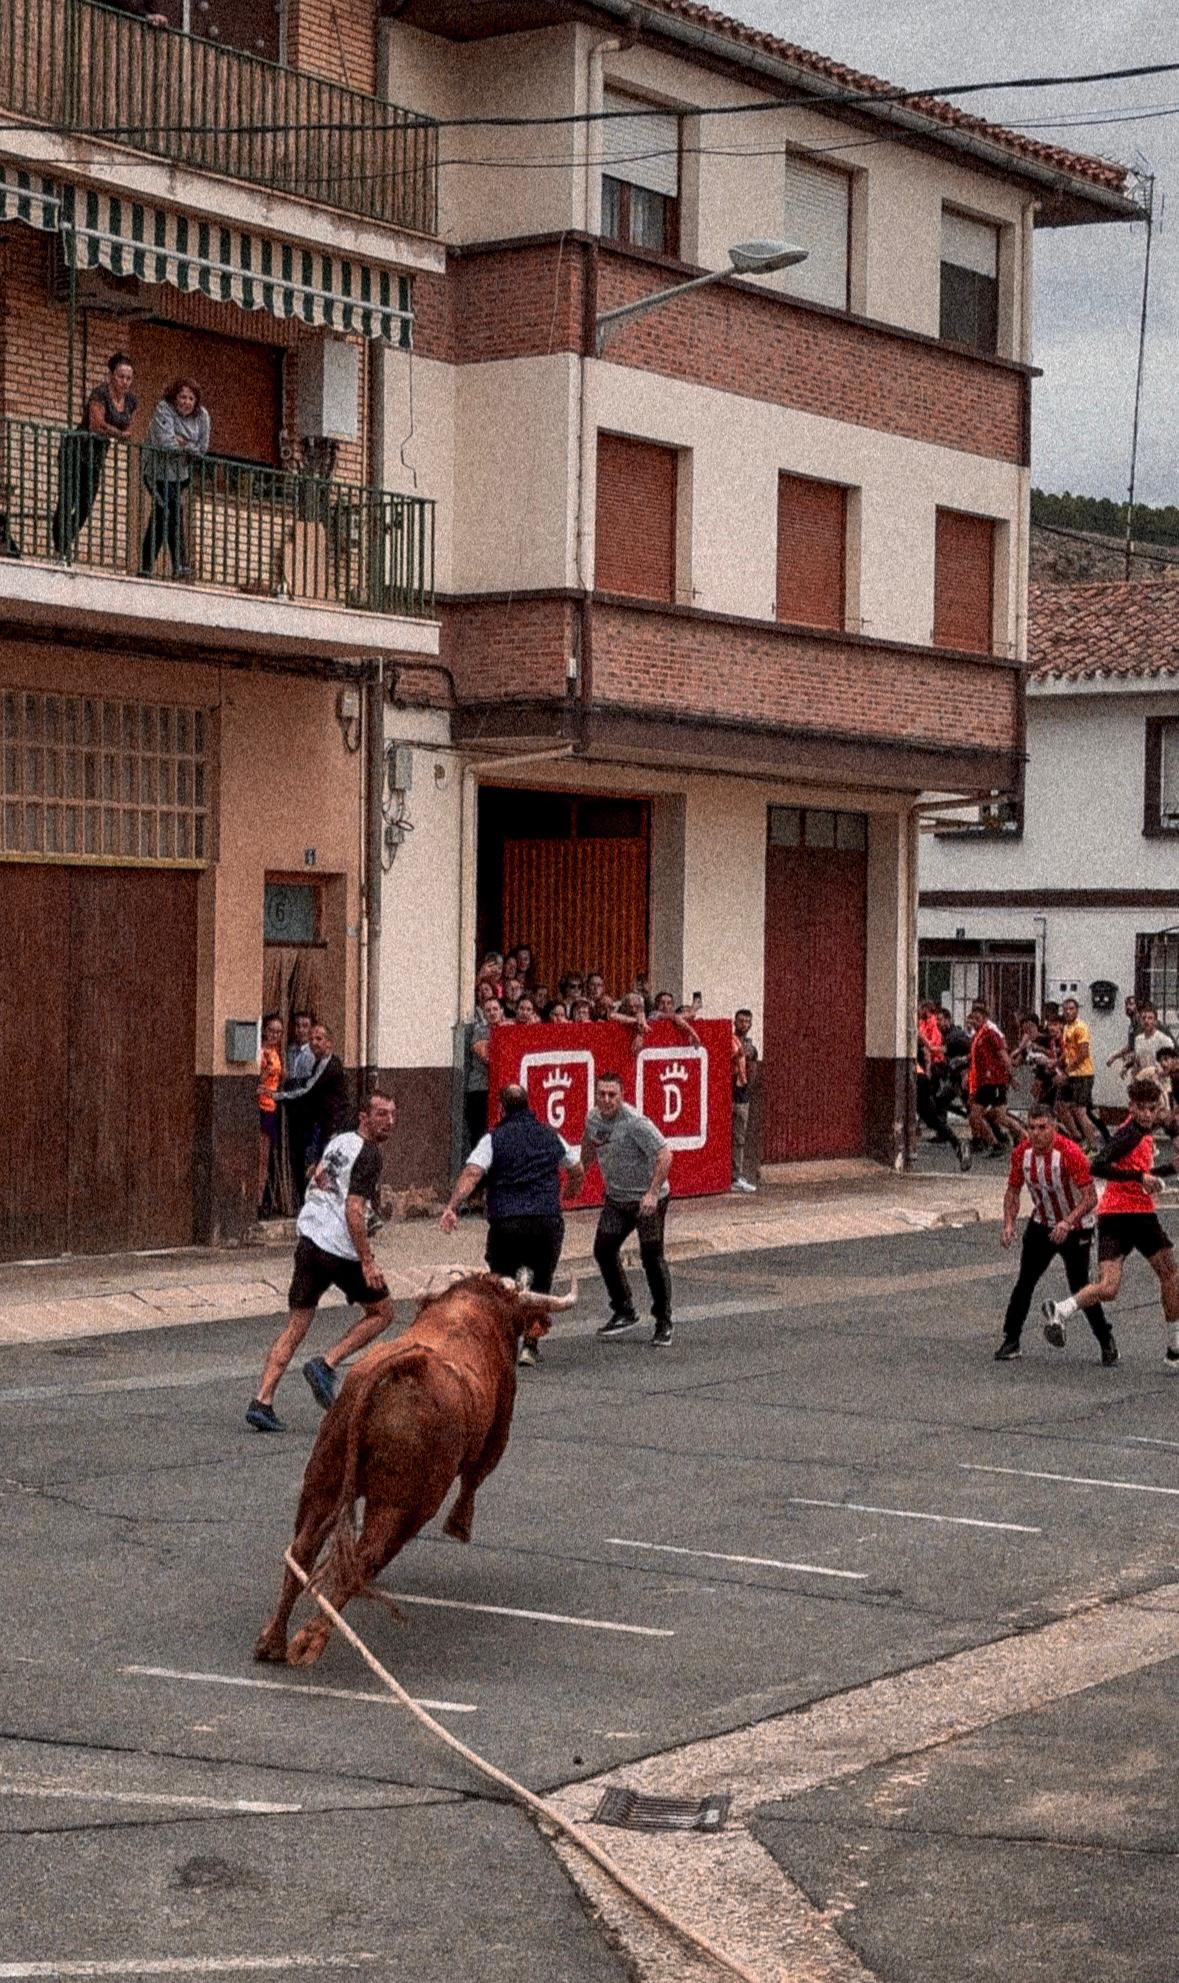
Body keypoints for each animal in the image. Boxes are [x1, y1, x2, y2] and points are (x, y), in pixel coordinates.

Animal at [255, 1277, 578, 1665]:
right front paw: (459, 1525)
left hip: (324, 1477)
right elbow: (476, 1475)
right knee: (365, 1557)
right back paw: (310, 1639)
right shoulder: (498, 1430)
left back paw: (272, 1640)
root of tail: (407, 1367)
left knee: (303, 1548)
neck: (467, 1309)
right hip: (406, 1504)